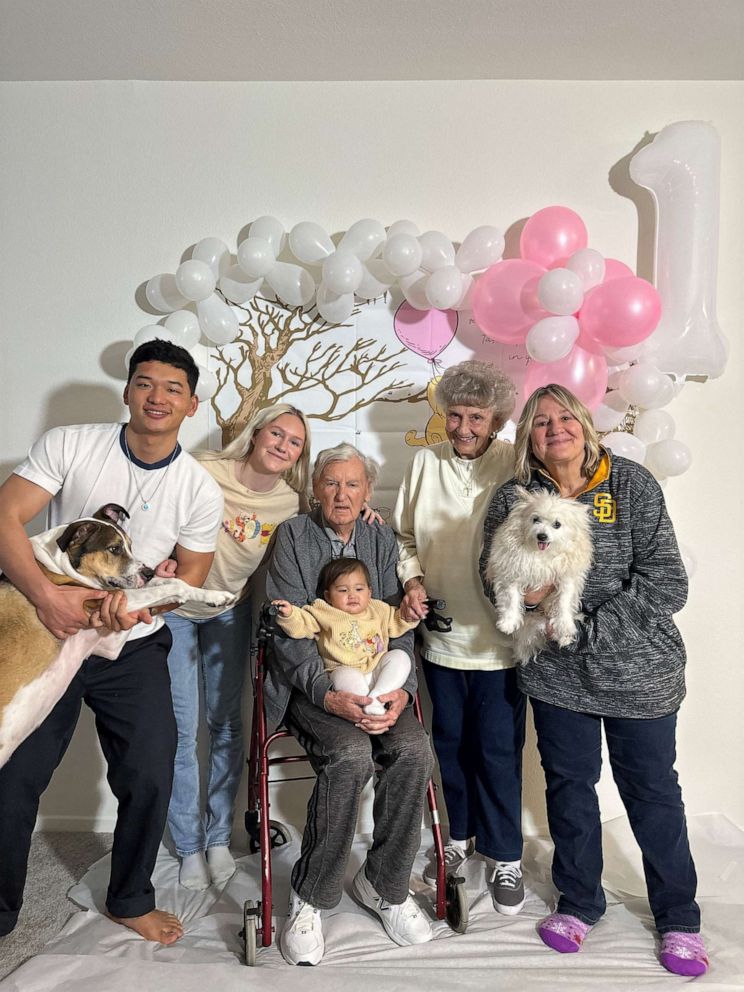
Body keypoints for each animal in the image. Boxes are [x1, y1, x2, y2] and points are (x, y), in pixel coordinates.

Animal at [0, 504, 235, 768]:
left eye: (131, 546)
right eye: (114, 549)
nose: (148, 571)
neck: (59, 564)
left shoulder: (110, 642)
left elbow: (172, 582)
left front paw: (216, 596)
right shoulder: (104, 602)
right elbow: (172, 586)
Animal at [486, 490, 596, 668]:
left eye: (557, 524)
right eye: (535, 519)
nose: (542, 536)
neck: (541, 554)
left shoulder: (567, 579)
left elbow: (564, 602)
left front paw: (565, 626)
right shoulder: (511, 574)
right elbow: (511, 599)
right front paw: (508, 622)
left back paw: (563, 635)